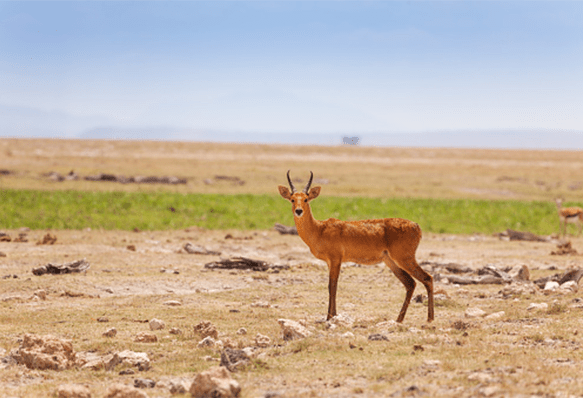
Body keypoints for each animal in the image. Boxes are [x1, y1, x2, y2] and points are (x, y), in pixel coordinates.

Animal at [278, 171, 434, 324]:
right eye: (292, 199)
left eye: (306, 199)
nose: (299, 211)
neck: (319, 229)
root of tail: (416, 225)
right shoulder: (330, 262)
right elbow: (331, 286)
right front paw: (332, 315)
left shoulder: (335, 259)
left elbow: (332, 286)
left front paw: (330, 317)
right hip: (391, 262)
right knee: (410, 283)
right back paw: (399, 319)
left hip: (404, 259)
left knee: (427, 278)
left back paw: (429, 319)